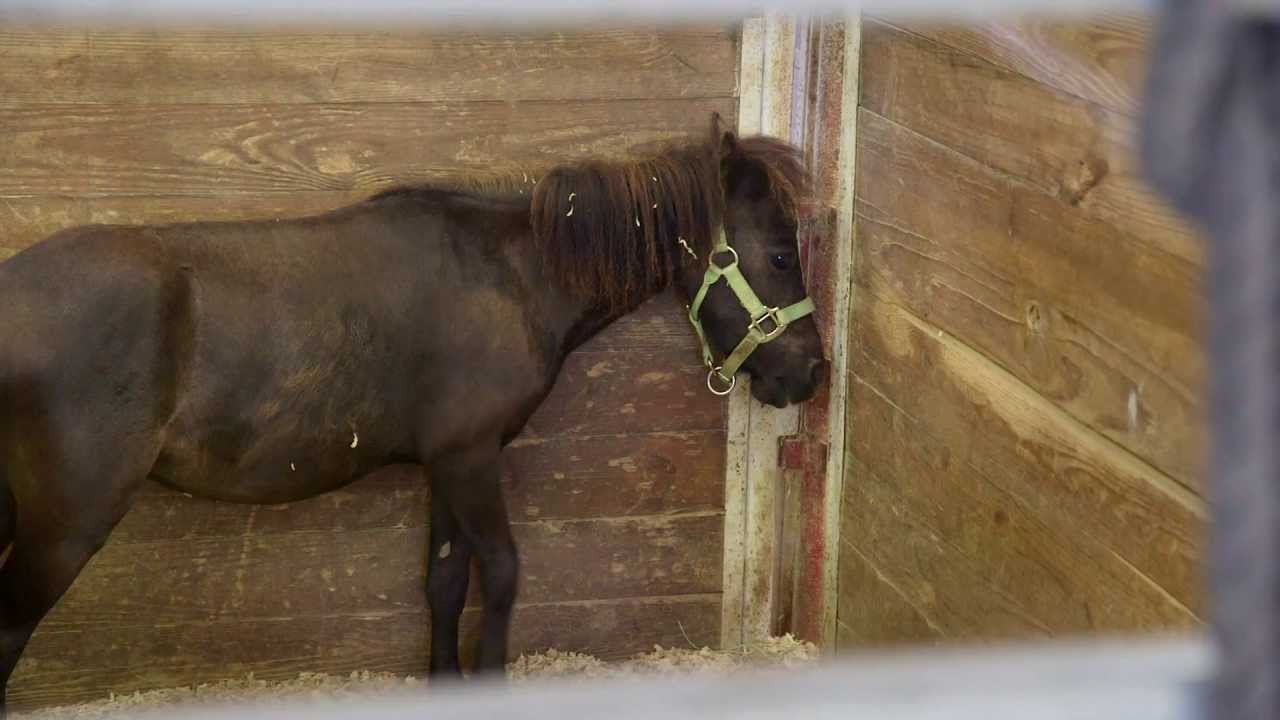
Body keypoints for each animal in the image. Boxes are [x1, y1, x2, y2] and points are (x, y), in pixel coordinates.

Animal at [0, 113, 826, 712]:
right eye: (781, 256)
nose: (811, 374)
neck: (509, 274)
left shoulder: (446, 465)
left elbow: (445, 581)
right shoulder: (471, 457)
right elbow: (502, 573)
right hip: (65, 525)